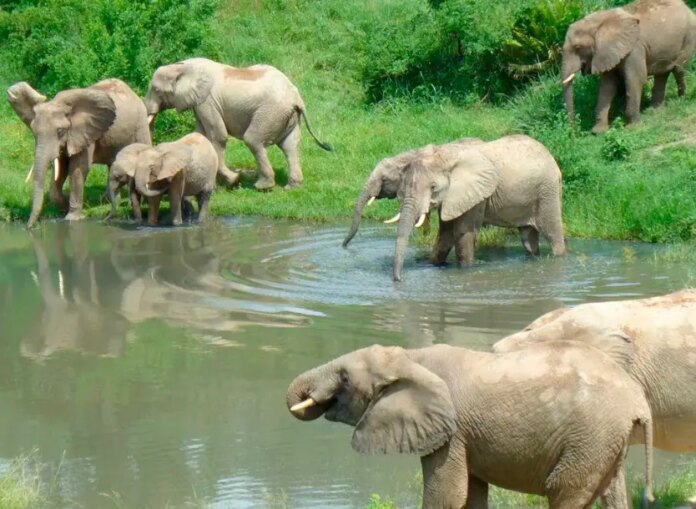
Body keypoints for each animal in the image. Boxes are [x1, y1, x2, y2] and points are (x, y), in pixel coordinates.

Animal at [7, 79, 151, 228]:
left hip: (141, 123)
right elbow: (60, 169)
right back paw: (109, 200)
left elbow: (78, 169)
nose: (29, 228)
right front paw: (65, 204)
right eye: (34, 132)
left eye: (60, 131)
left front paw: (72, 217)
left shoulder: (83, 133)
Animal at [144, 58, 332, 190]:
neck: (181, 67)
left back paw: (263, 186)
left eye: (156, 90)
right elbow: (201, 135)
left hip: (271, 112)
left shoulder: (207, 101)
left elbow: (218, 135)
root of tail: (296, 98)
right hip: (288, 117)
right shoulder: (200, 103)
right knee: (290, 145)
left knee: (253, 140)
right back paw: (292, 186)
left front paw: (233, 181)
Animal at [287, 343, 654, 509]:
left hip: (590, 435)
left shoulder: (451, 432)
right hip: (605, 438)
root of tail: (637, 399)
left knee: (564, 490)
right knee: (612, 491)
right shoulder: (464, 436)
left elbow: (446, 495)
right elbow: (472, 494)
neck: (410, 356)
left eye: (345, 379)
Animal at [344, 135, 566, 281]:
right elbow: (445, 233)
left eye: (433, 188)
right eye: (402, 187)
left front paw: (465, 271)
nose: (399, 280)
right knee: (528, 238)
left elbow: (462, 232)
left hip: (548, 190)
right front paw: (432, 265)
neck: (440, 155)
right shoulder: (453, 197)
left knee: (552, 234)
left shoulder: (476, 194)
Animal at [562, 0, 696, 133]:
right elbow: (607, 86)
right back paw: (655, 111)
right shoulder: (609, 52)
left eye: (578, 47)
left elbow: (636, 80)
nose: (574, 131)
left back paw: (681, 100)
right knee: (662, 73)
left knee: (679, 70)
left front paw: (633, 128)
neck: (600, 21)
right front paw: (598, 132)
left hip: (689, 36)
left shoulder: (635, 48)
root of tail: (687, 7)